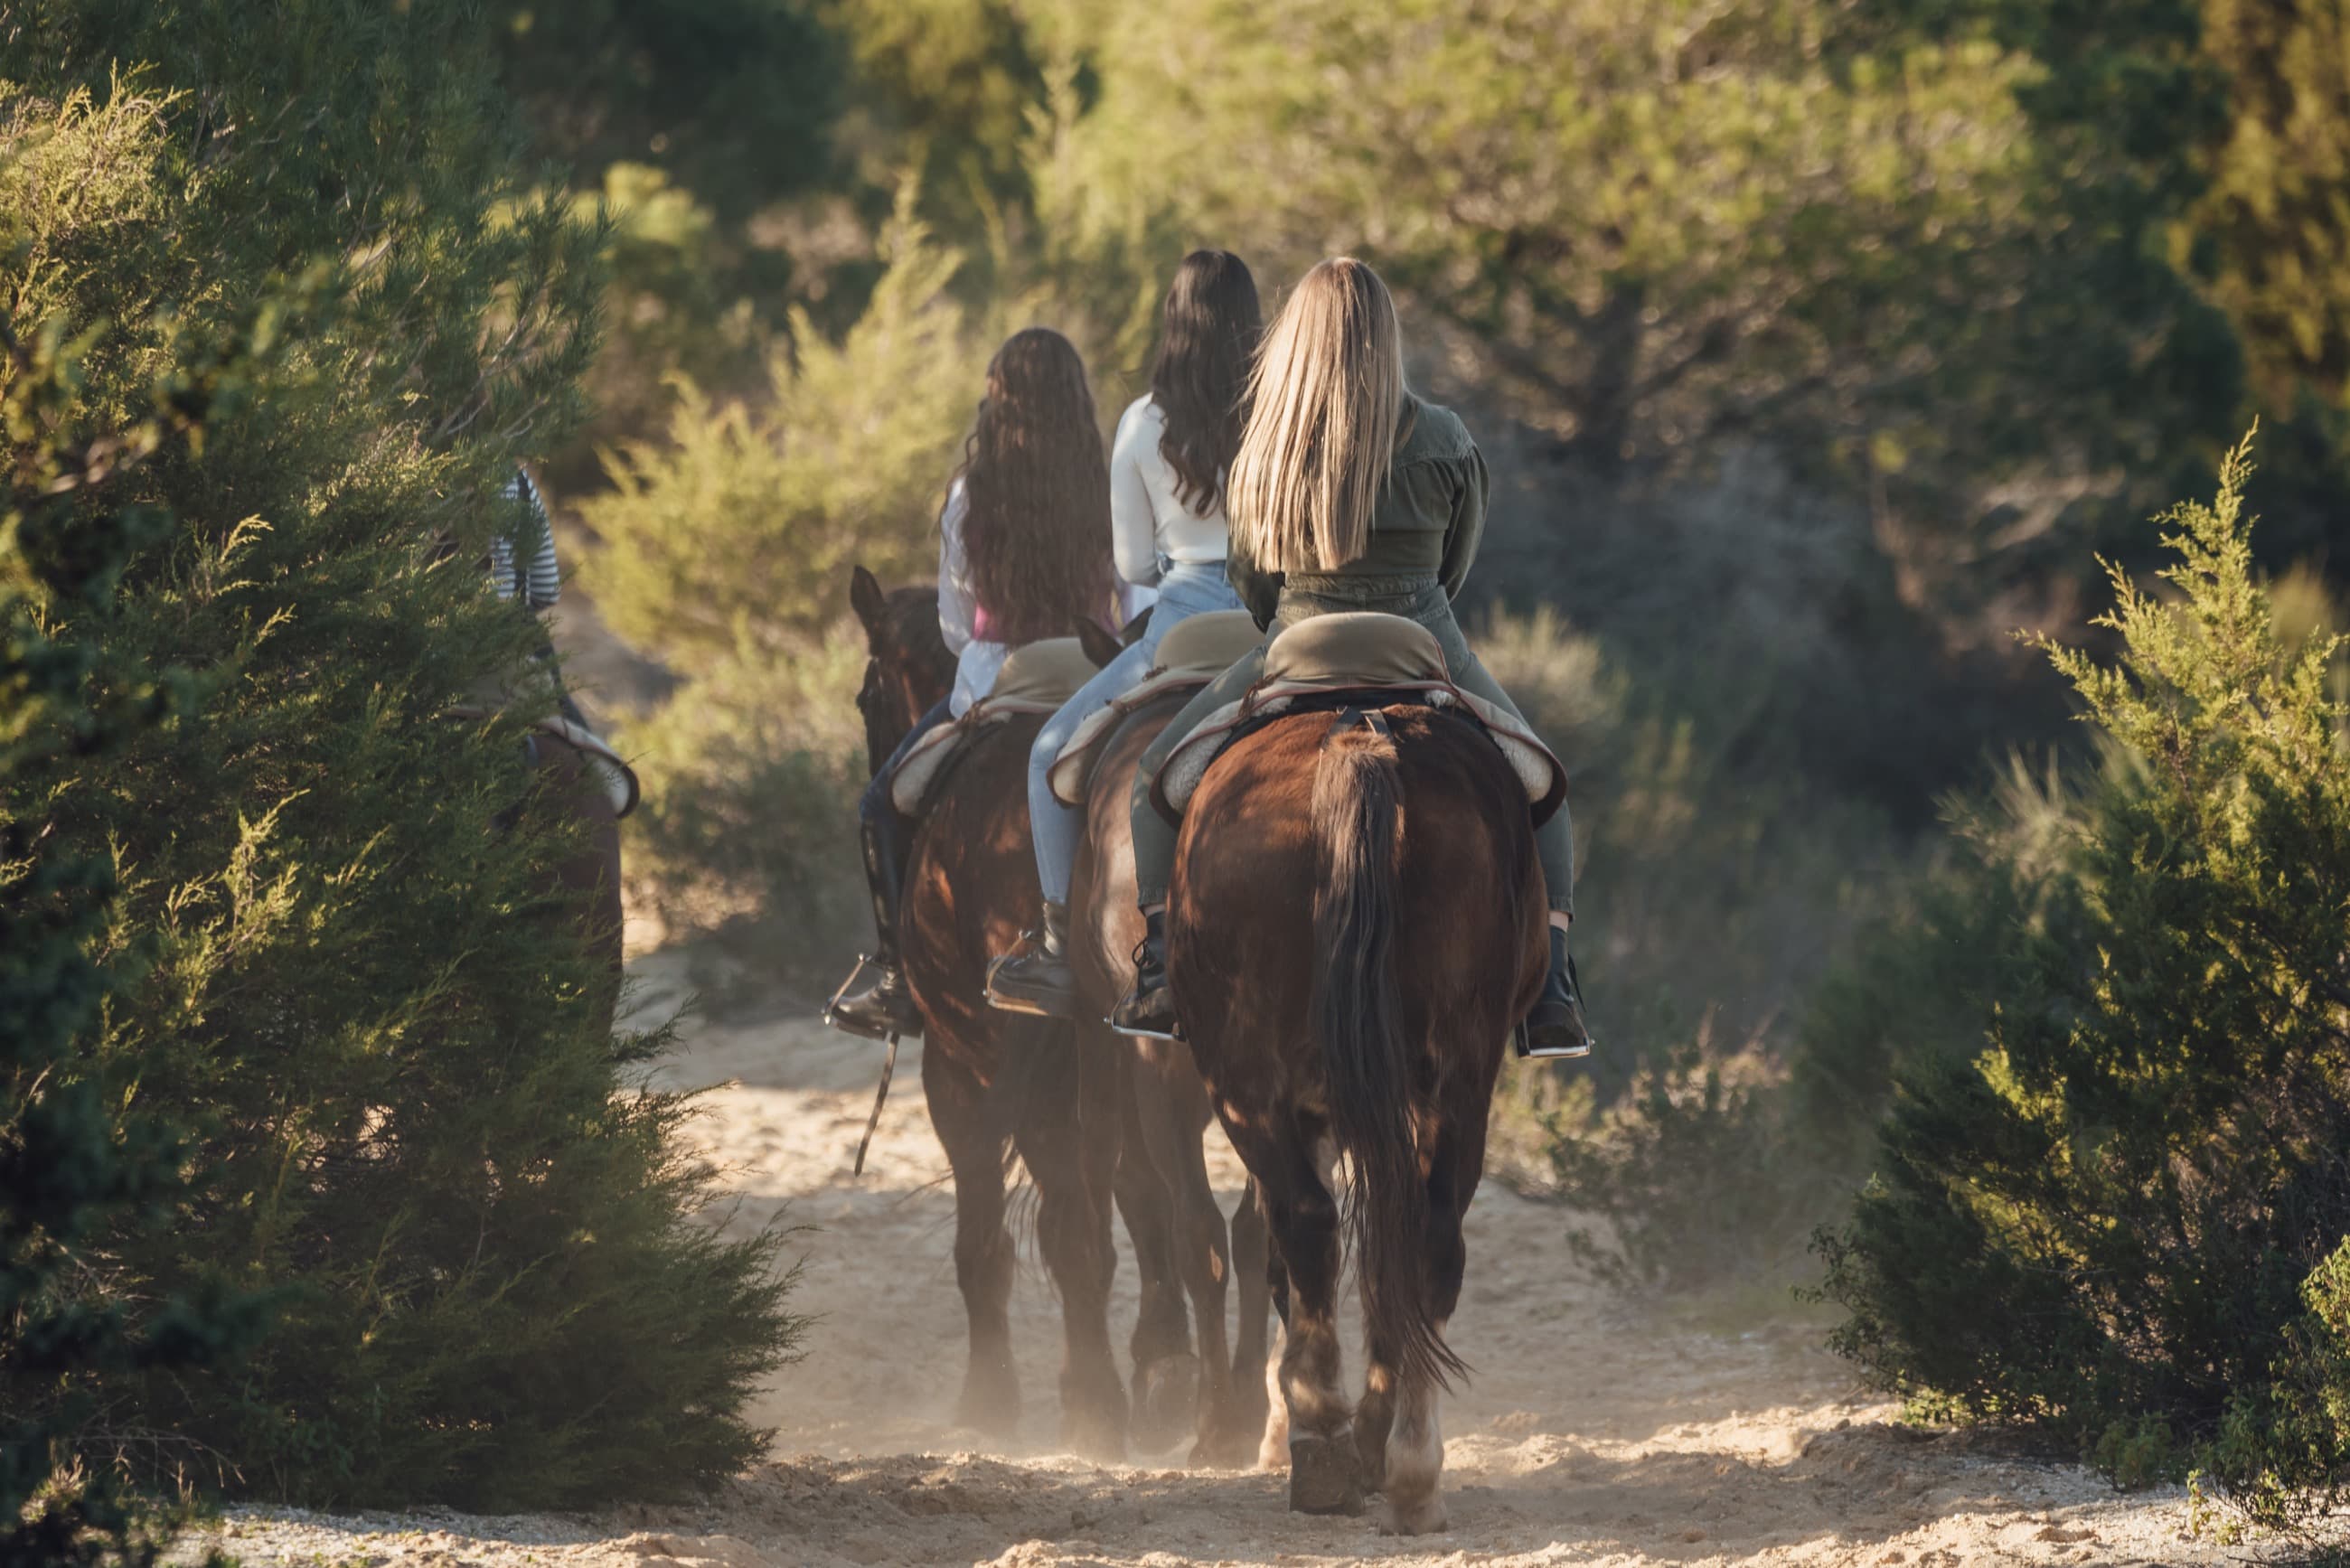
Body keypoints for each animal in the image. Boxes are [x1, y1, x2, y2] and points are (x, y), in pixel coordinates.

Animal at [849, 565, 1130, 1457]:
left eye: (865, 695)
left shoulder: (955, 1070)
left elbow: (982, 1242)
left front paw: (988, 1398)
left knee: (1062, 1229)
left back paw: (1094, 1405)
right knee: (1088, 1230)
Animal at [1168, 699, 1548, 1533]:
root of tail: (1359, 732)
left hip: (1249, 1081)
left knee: (1315, 1226)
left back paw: (1340, 1449)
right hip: (1451, 1077)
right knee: (1415, 1238)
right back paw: (1399, 1465)